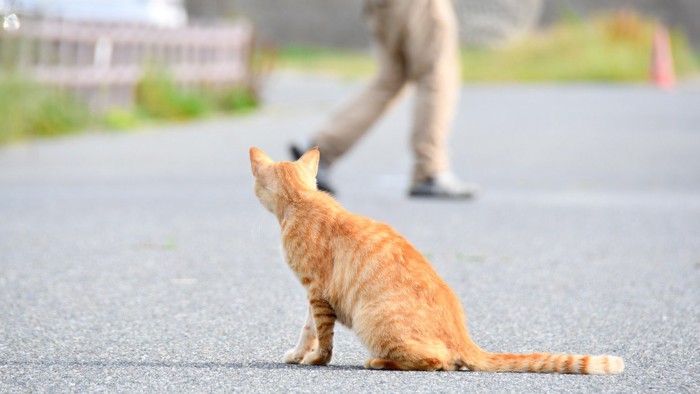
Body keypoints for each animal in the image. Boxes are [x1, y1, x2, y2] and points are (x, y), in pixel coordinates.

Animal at [250, 146, 624, 374]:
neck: (302, 201)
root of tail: (464, 336)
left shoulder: (317, 292)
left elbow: (323, 338)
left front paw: (315, 359)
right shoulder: (313, 296)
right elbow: (308, 329)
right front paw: (298, 354)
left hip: (372, 319)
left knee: (438, 361)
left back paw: (378, 362)